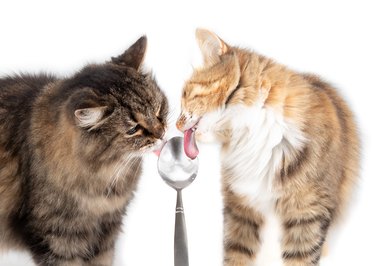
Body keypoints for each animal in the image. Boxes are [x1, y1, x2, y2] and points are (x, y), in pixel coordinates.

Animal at [178, 28, 360, 264]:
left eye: (185, 94)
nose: (176, 124)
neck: (254, 136)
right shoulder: (240, 210)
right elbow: (236, 255)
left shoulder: (308, 213)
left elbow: (299, 259)